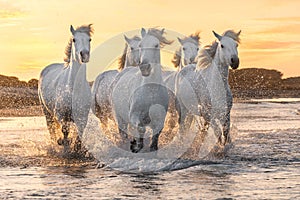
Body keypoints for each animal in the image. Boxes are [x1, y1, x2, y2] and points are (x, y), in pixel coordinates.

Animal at [38, 24, 93, 152]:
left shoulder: (82, 118)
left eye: (89, 39)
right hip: (47, 112)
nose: (84, 55)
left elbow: (79, 135)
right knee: (52, 130)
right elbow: (64, 131)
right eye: (74, 39)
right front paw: (63, 144)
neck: (73, 89)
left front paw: (77, 148)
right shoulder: (61, 115)